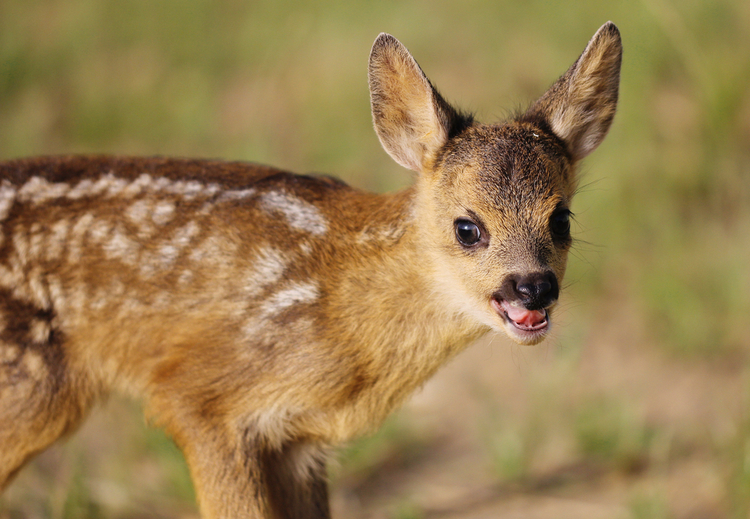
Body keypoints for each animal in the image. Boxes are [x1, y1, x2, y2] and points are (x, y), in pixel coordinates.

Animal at [0, 21, 624, 519]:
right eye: (467, 228)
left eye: (561, 218)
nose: (533, 287)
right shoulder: (196, 395)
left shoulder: (299, 439)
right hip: (33, 388)